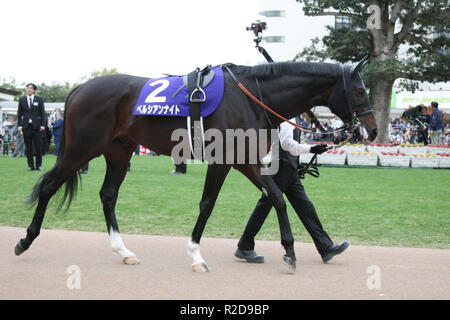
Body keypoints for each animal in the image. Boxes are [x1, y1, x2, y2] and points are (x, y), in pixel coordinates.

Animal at [14, 59, 376, 270]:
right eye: (359, 91)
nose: (371, 130)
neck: (251, 96)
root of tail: (80, 88)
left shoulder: (245, 160)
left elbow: (276, 197)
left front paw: (289, 249)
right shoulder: (224, 160)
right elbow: (207, 204)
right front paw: (196, 255)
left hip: (118, 151)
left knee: (108, 195)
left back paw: (123, 250)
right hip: (81, 149)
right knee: (49, 186)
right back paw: (25, 241)